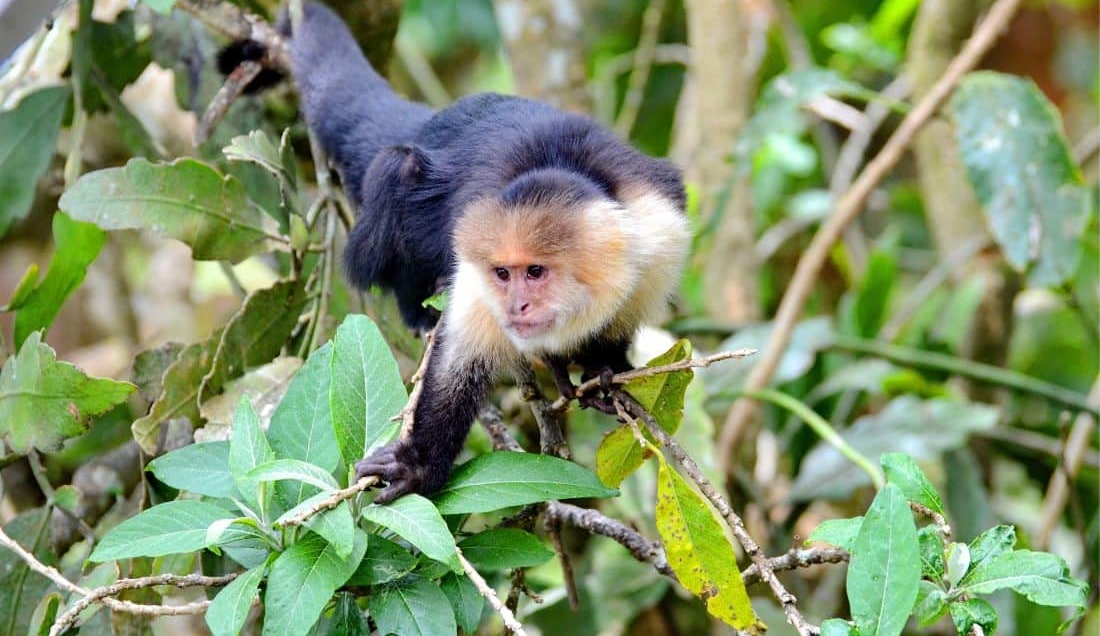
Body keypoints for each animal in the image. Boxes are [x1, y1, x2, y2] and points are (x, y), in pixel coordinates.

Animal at [221, 2, 691, 502]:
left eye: (536, 272)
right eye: (503, 274)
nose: (515, 305)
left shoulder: (660, 231)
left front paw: (605, 361)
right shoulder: (475, 254)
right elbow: (456, 366)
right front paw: (419, 464)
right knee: (398, 172)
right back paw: (417, 309)